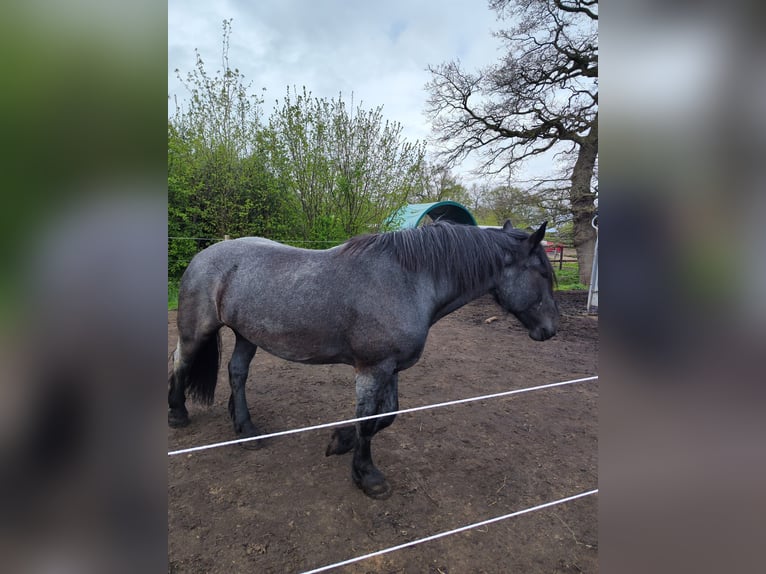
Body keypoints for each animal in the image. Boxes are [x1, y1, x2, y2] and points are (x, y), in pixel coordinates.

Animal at [170, 220, 560, 500]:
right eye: (543, 273)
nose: (551, 329)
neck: (407, 281)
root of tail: (204, 255)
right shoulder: (372, 369)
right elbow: (368, 421)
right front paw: (367, 475)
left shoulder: (392, 368)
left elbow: (386, 417)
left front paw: (340, 441)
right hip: (197, 332)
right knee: (179, 362)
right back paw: (178, 414)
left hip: (247, 335)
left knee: (237, 373)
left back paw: (246, 430)